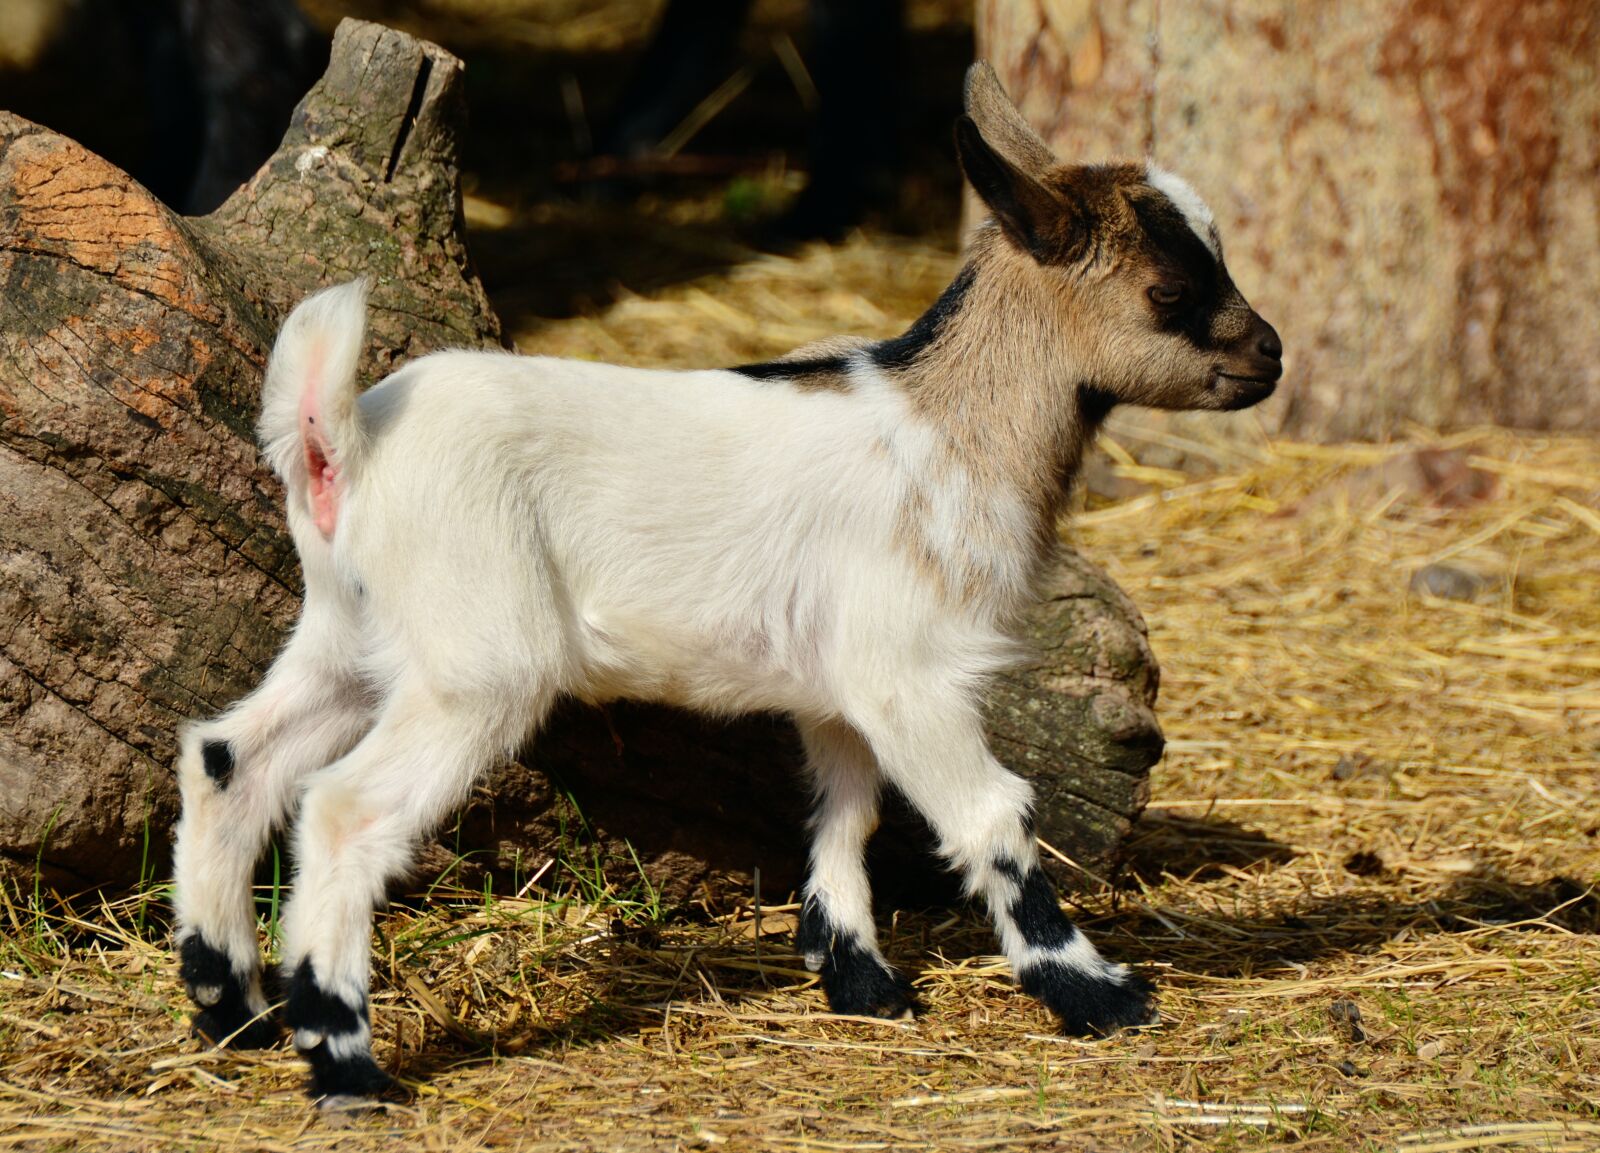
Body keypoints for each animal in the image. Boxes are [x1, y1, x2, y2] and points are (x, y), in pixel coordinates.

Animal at [172, 62, 1283, 1104]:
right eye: (1169, 292)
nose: (1270, 357)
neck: (950, 429)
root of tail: (340, 444)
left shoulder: (840, 682)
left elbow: (844, 809)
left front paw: (859, 977)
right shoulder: (909, 670)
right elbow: (991, 815)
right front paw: (1099, 994)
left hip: (352, 633)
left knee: (232, 757)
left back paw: (232, 1009)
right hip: (475, 662)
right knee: (340, 808)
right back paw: (343, 1058)